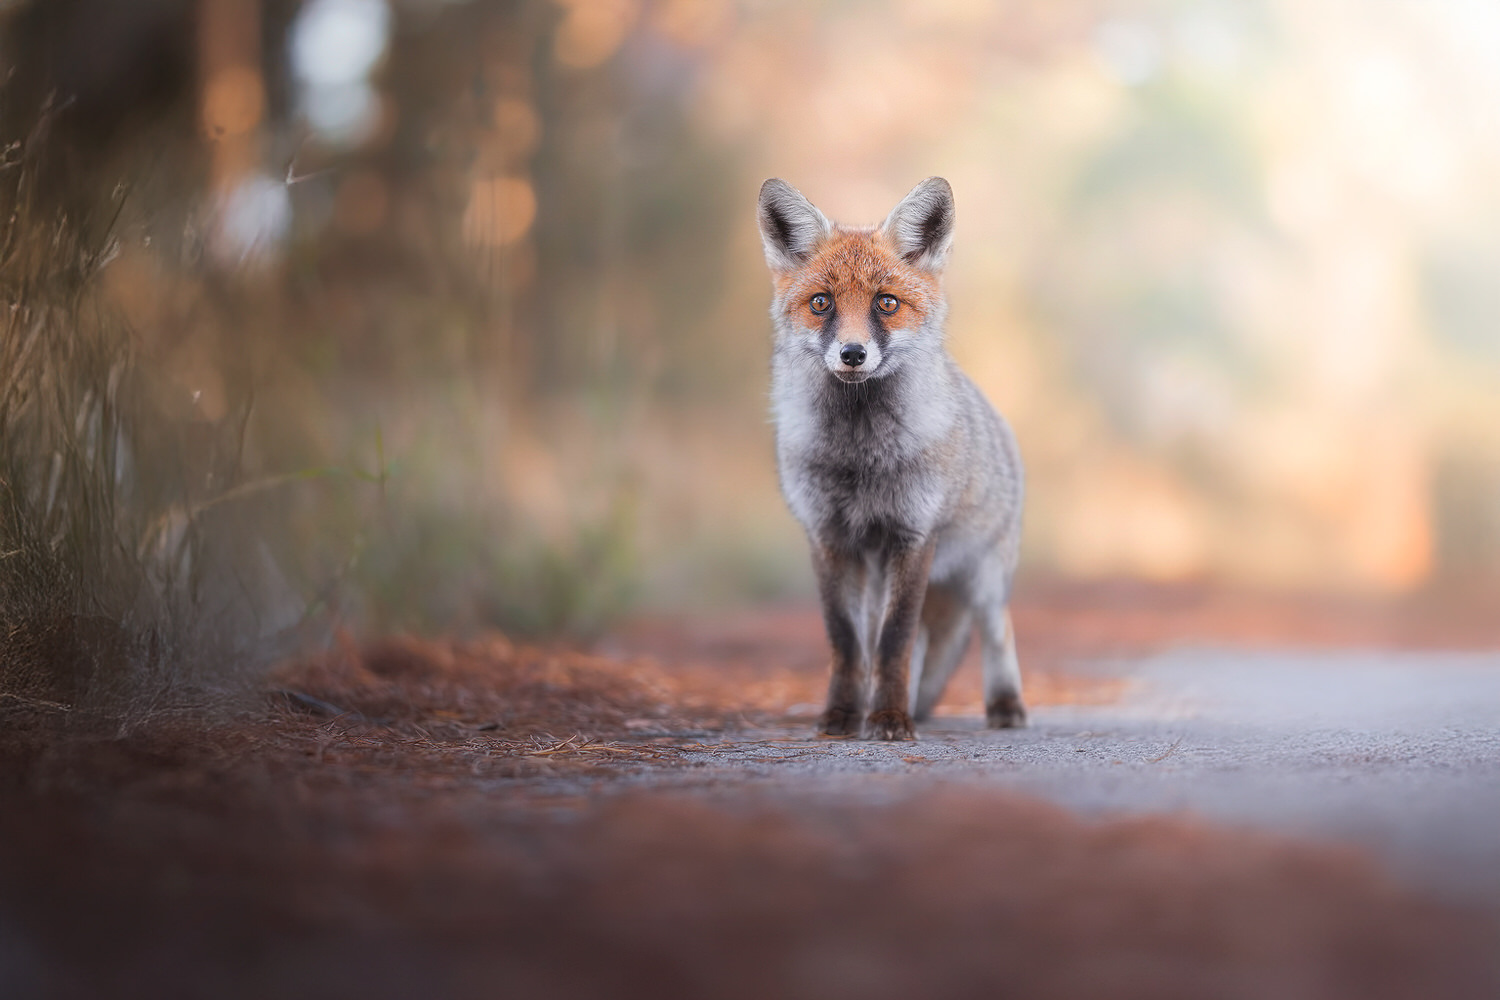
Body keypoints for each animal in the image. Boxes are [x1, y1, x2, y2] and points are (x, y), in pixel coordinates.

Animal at [757, 176, 1025, 741]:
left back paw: (1004, 705)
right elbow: (847, 643)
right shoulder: (829, 537)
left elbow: (895, 640)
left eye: (886, 303)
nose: (853, 354)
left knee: (997, 632)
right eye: (821, 303)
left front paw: (889, 718)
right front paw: (842, 716)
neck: (860, 457)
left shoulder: (913, 535)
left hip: (984, 576)